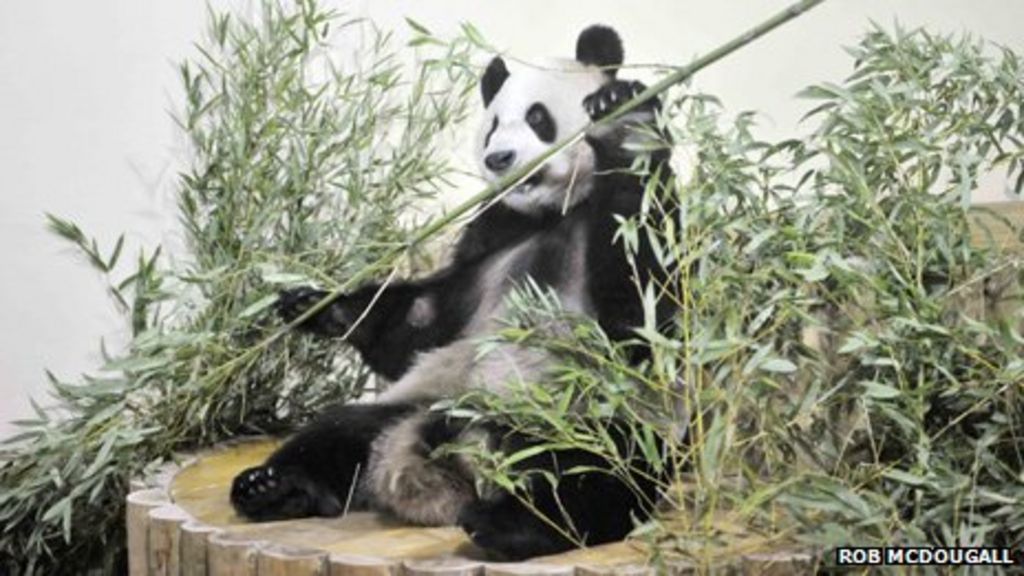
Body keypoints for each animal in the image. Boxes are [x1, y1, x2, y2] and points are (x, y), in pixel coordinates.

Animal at [230, 24, 674, 560]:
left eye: (538, 117)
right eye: (493, 124)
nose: (499, 158)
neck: (553, 212)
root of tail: (464, 447)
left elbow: (641, 305)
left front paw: (623, 119)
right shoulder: (490, 239)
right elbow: (419, 324)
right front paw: (317, 305)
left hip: (585, 417)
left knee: (595, 469)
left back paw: (513, 525)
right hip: (420, 399)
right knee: (337, 429)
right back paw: (273, 488)